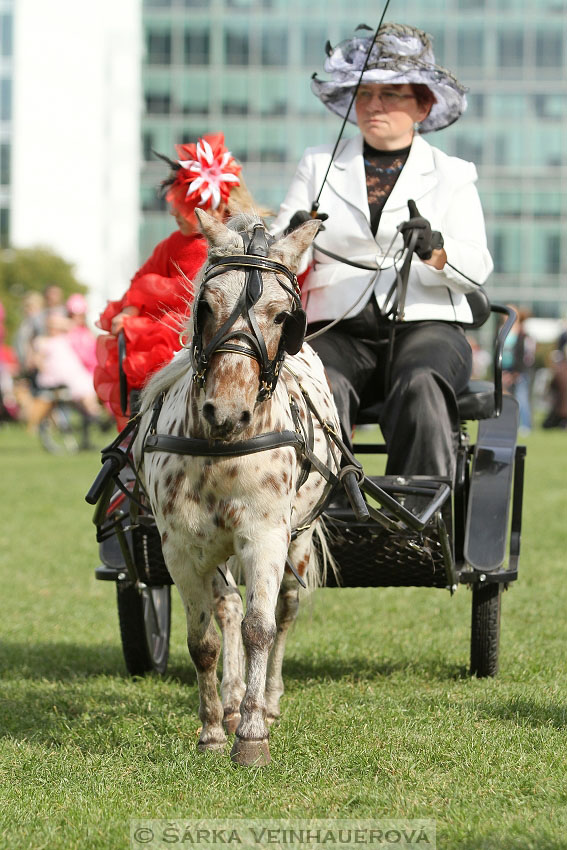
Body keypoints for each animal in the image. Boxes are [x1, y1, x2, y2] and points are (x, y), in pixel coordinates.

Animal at [135, 210, 340, 760]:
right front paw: (211, 730)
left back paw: (264, 699)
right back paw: (229, 701)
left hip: (299, 540)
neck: (221, 452)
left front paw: (251, 735)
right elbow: (204, 639)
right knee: (226, 606)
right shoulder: (181, 548)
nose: (225, 412)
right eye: (205, 305)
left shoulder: (265, 536)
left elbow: (259, 628)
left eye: (283, 316)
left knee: (285, 608)